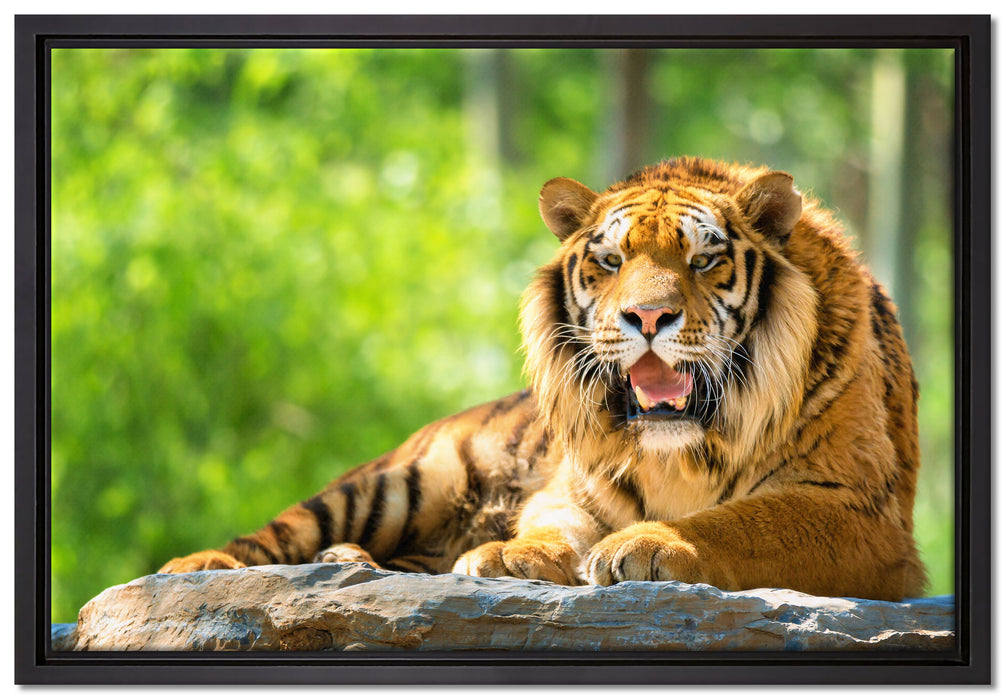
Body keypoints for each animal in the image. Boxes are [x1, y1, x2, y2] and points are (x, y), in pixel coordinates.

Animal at [159, 156, 926, 602]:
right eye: (612, 261)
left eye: (704, 260)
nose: (650, 316)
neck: (683, 448)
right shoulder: (573, 485)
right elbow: (553, 524)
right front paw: (509, 554)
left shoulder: (857, 510)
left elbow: (743, 520)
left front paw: (649, 545)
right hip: (399, 482)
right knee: (279, 532)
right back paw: (199, 568)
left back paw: (351, 561)